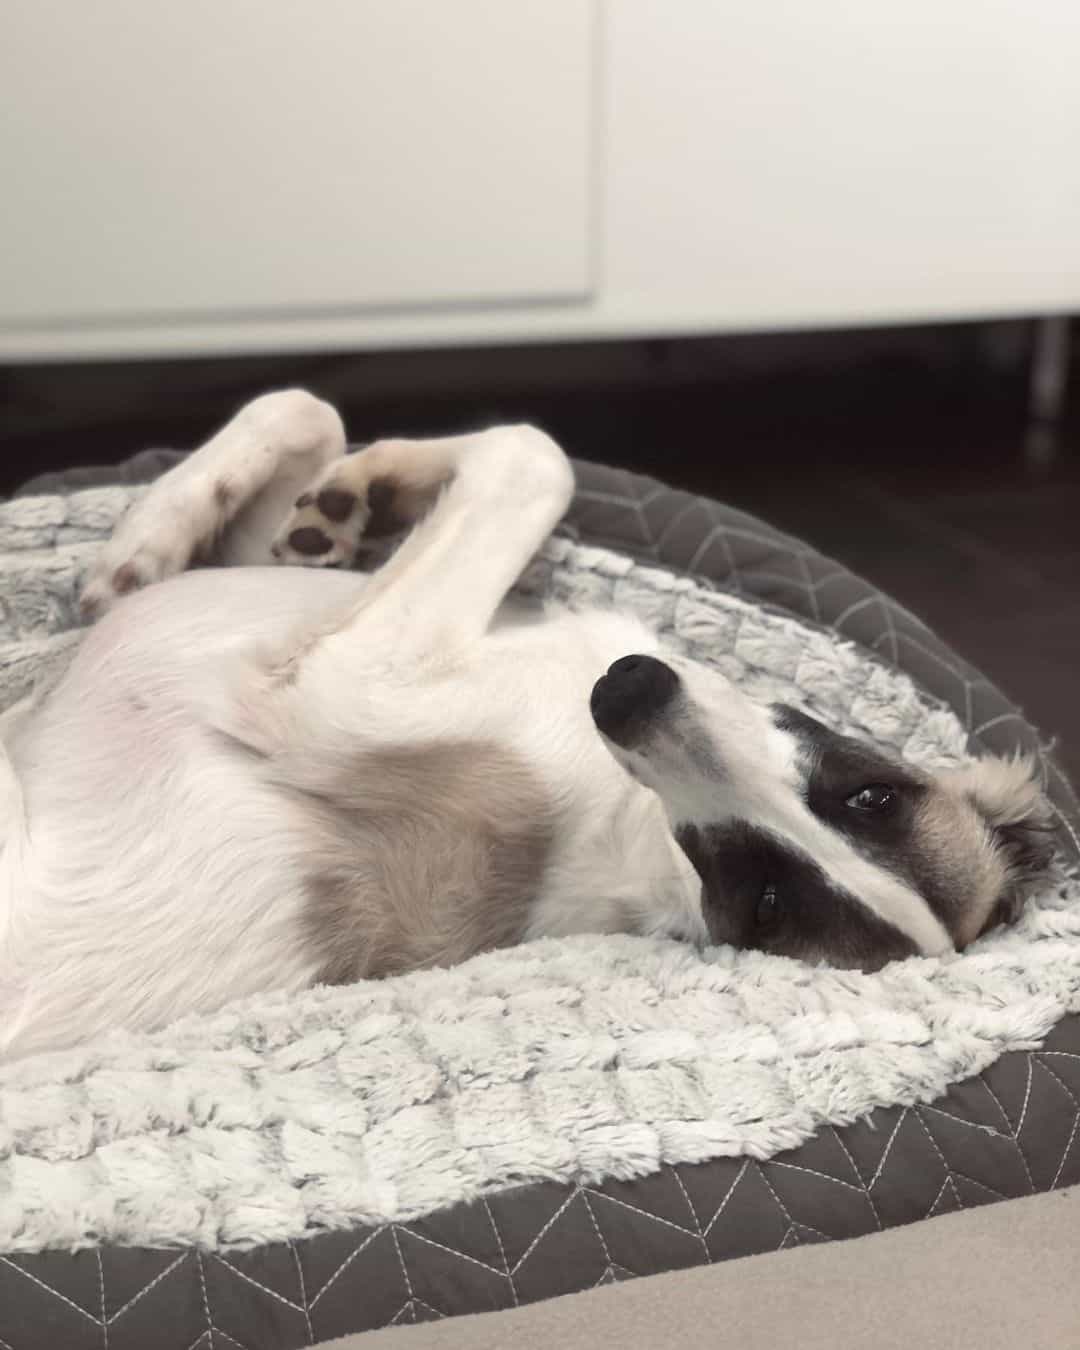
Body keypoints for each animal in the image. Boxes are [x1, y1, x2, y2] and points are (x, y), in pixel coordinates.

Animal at [0, 386, 1053, 1058]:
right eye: (871, 794)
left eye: (765, 904)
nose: (630, 692)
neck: (630, 827)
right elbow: (316, 415)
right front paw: (334, 500)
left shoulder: (335, 683)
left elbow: (528, 454)